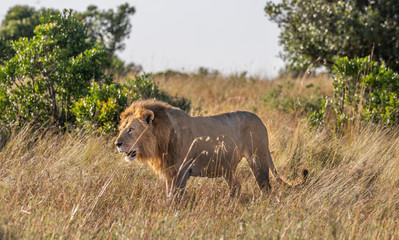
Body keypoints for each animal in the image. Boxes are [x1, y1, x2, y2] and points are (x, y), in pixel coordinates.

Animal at [115, 98, 310, 200]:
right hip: (228, 169)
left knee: (266, 187)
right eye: (122, 127)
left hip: (258, 159)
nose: (117, 143)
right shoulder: (170, 171)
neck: (160, 139)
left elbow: (177, 197)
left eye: (131, 129)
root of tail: (260, 120)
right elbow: (170, 195)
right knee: (236, 186)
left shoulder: (182, 171)